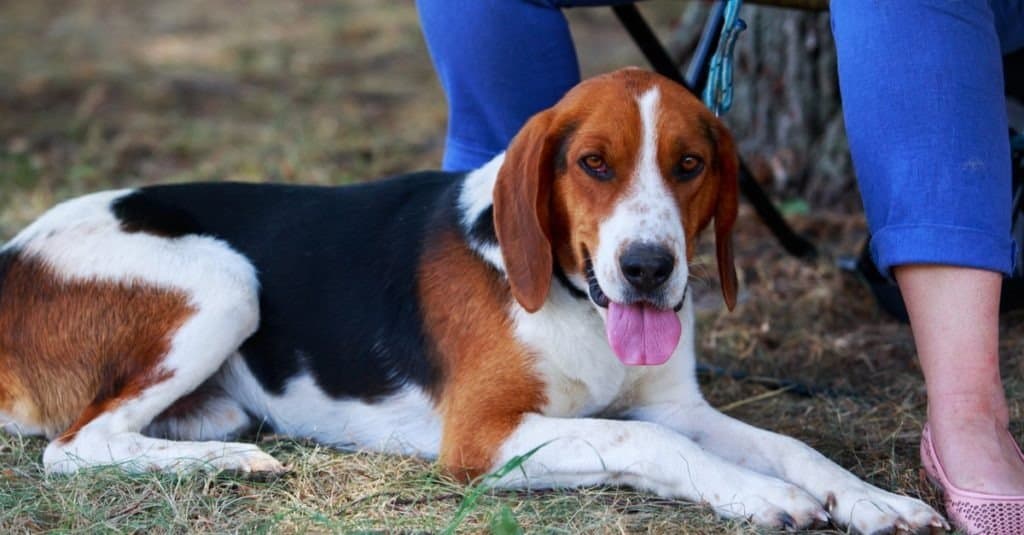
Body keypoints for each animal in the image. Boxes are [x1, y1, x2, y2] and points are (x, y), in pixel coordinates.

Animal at [0, 68, 942, 528]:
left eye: (690, 165)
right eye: (593, 163)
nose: (648, 268)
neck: (572, 299)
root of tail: (12, 256)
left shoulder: (674, 404)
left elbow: (790, 445)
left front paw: (871, 498)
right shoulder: (485, 436)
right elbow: (659, 447)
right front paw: (762, 497)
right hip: (229, 282)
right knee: (74, 446)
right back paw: (232, 462)